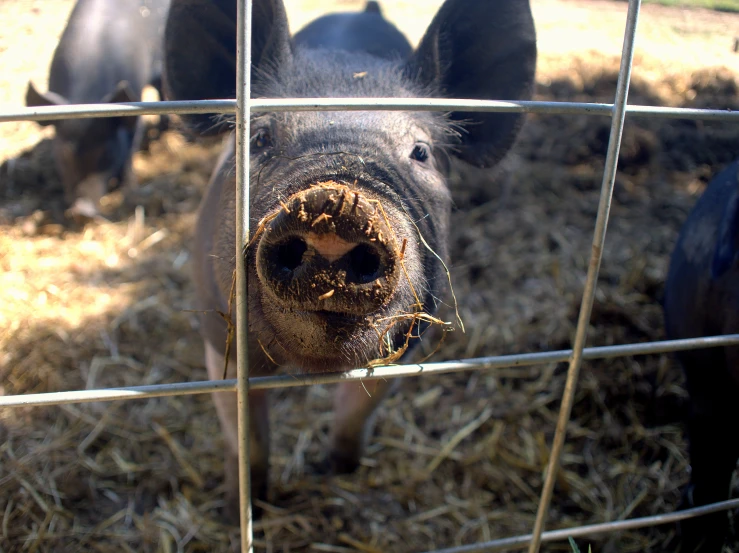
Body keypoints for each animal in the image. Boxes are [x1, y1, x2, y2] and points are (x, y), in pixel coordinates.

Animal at [24, 0, 172, 219]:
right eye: (65, 153)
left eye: (105, 152)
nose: (81, 210)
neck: (87, 99)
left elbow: (130, 150)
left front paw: (130, 190)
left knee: (162, 89)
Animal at [163, 0, 536, 516]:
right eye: (259, 139)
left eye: (421, 151)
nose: (336, 208)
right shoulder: (222, 341)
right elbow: (248, 438)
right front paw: (248, 504)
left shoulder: (406, 343)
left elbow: (355, 414)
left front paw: (338, 470)